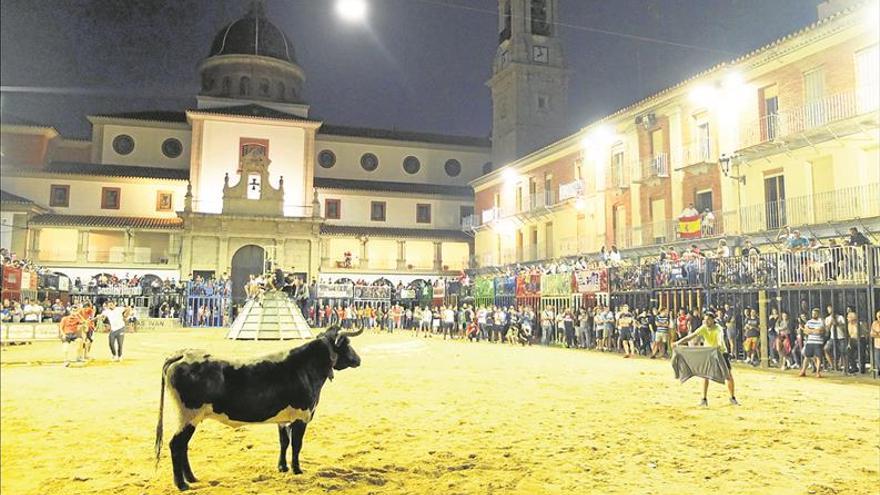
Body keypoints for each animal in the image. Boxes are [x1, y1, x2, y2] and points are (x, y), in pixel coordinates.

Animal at [154, 326, 360, 492]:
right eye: (347, 343)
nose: (358, 360)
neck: (306, 368)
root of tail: (182, 354)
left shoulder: (284, 419)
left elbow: (284, 442)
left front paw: (283, 468)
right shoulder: (302, 416)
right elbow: (296, 444)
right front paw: (297, 470)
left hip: (190, 418)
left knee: (183, 446)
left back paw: (191, 478)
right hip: (188, 416)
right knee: (176, 444)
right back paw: (182, 484)